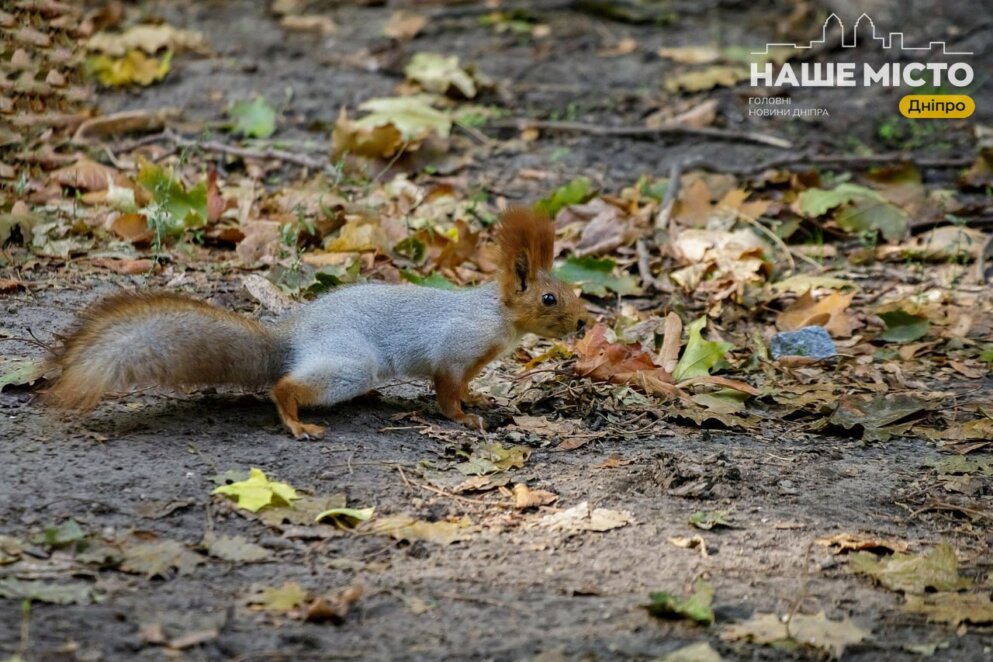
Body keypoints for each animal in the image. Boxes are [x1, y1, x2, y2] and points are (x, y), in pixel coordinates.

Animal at [44, 209, 588, 440]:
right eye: (549, 298)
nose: (584, 324)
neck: (494, 316)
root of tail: (290, 340)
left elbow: (468, 386)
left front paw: (480, 400)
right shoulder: (455, 349)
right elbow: (447, 391)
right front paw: (463, 417)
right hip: (351, 363)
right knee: (284, 386)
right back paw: (297, 421)